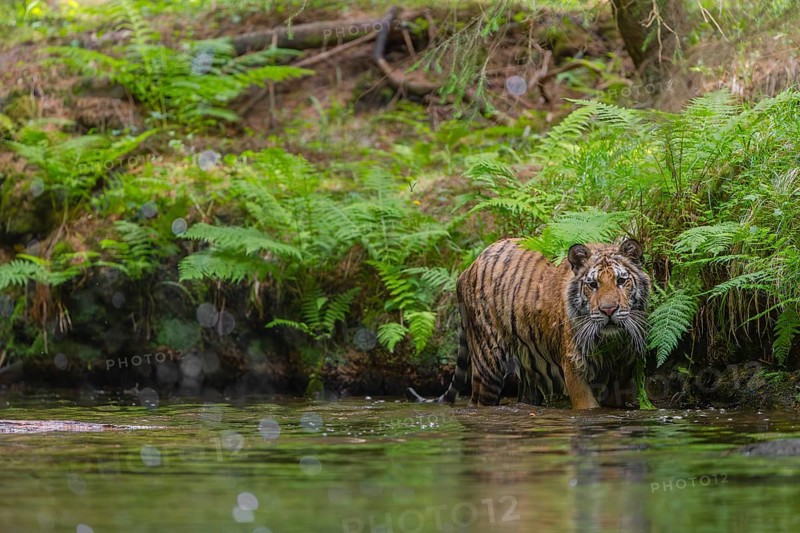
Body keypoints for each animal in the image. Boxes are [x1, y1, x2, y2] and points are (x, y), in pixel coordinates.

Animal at [410, 238, 651, 409]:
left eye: (621, 281)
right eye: (592, 284)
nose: (608, 310)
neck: (610, 345)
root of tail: (468, 268)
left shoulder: (622, 374)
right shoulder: (574, 368)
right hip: (488, 362)